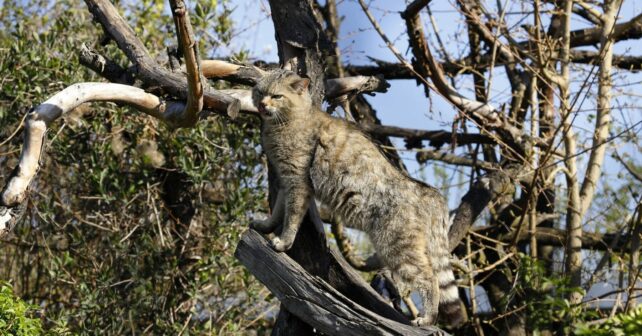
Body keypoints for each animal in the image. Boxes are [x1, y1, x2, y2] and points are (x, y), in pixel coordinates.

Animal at [249, 70, 460, 326]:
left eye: (277, 96)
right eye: (260, 92)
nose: (262, 104)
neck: (287, 121)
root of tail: (427, 191)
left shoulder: (297, 181)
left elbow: (292, 217)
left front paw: (284, 241)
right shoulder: (285, 180)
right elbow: (279, 211)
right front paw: (266, 225)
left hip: (397, 247)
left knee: (430, 278)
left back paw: (428, 317)